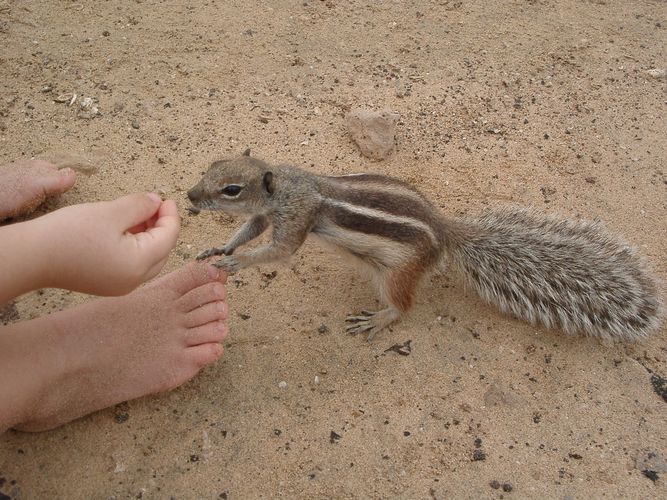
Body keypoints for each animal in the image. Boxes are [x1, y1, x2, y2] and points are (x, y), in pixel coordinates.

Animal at [187, 150, 664, 342]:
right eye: (211, 165)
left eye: (231, 189)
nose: (190, 196)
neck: (287, 185)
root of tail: (444, 231)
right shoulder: (266, 216)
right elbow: (248, 231)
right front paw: (221, 251)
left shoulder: (296, 218)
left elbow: (279, 251)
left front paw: (237, 264)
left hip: (396, 272)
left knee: (404, 305)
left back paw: (380, 319)